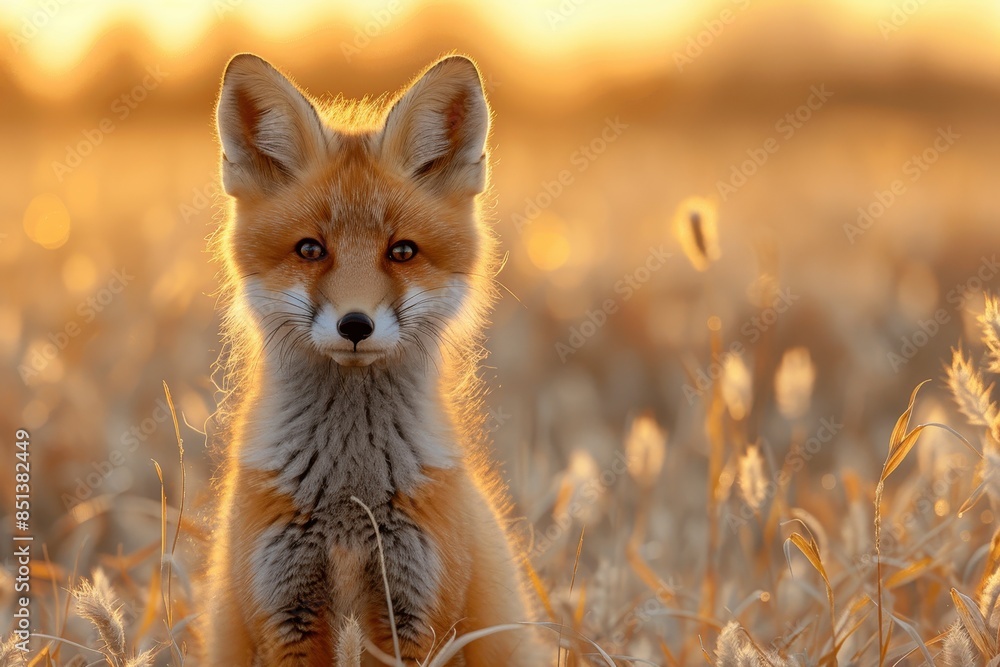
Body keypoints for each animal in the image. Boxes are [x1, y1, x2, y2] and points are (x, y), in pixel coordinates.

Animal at [205, 53, 549, 666]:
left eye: (402, 251)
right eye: (311, 249)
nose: (356, 326)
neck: (349, 494)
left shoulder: (412, 614)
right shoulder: (285, 611)